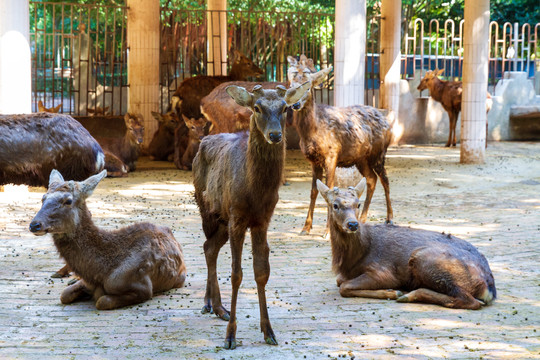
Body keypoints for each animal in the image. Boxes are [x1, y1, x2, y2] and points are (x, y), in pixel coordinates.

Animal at [29, 169, 187, 310]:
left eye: (68, 200)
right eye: (43, 198)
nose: (34, 224)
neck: (99, 272)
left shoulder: (143, 287)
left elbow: (102, 301)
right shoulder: (87, 282)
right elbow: (64, 295)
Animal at [193, 82, 312, 348]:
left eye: (285, 107)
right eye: (256, 108)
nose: (275, 135)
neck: (254, 191)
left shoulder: (262, 220)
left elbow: (262, 272)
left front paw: (268, 331)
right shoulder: (238, 217)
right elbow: (236, 274)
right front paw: (230, 336)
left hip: (223, 219)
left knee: (210, 247)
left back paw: (218, 307)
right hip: (206, 208)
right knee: (207, 246)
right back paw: (211, 304)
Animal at [288, 52, 394, 233]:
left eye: (307, 87)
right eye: (291, 86)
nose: (295, 104)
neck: (312, 132)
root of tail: (386, 121)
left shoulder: (332, 155)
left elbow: (330, 188)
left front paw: (326, 231)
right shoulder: (314, 160)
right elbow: (314, 191)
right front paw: (306, 228)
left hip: (378, 153)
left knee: (385, 180)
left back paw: (389, 218)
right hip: (361, 158)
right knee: (371, 178)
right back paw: (363, 218)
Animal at [316, 178, 498, 310]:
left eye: (358, 204)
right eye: (335, 205)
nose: (353, 224)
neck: (351, 260)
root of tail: (489, 287)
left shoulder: (383, 272)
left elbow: (344, 286)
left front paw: (391, 292)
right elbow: (339, 281)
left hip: (424, 258)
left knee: (471, 301)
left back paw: (408, 294)